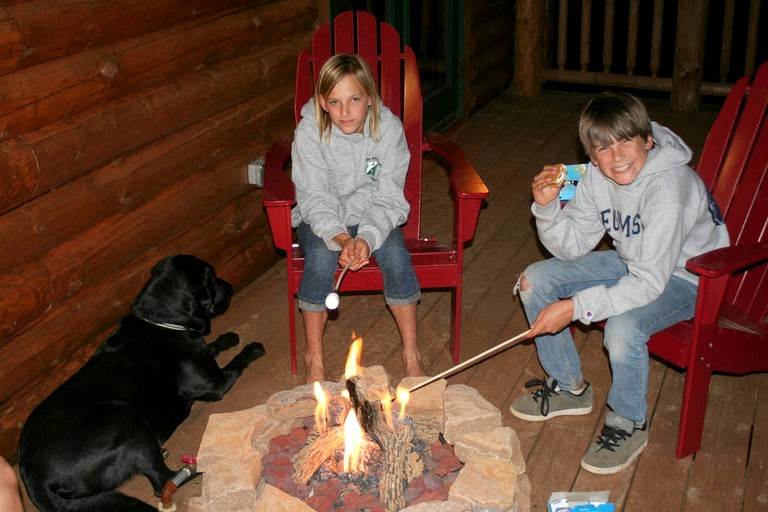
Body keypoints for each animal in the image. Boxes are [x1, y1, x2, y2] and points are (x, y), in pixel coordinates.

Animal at [18, 254, 266, 510]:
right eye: (212, 279)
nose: (230, 287)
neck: (159, 321)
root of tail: (33, 476)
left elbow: (212, 346)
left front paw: (227, 338)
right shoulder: (214, 382)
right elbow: (237, 362)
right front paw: (252, 349)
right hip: (125, 420)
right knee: (163, 482)